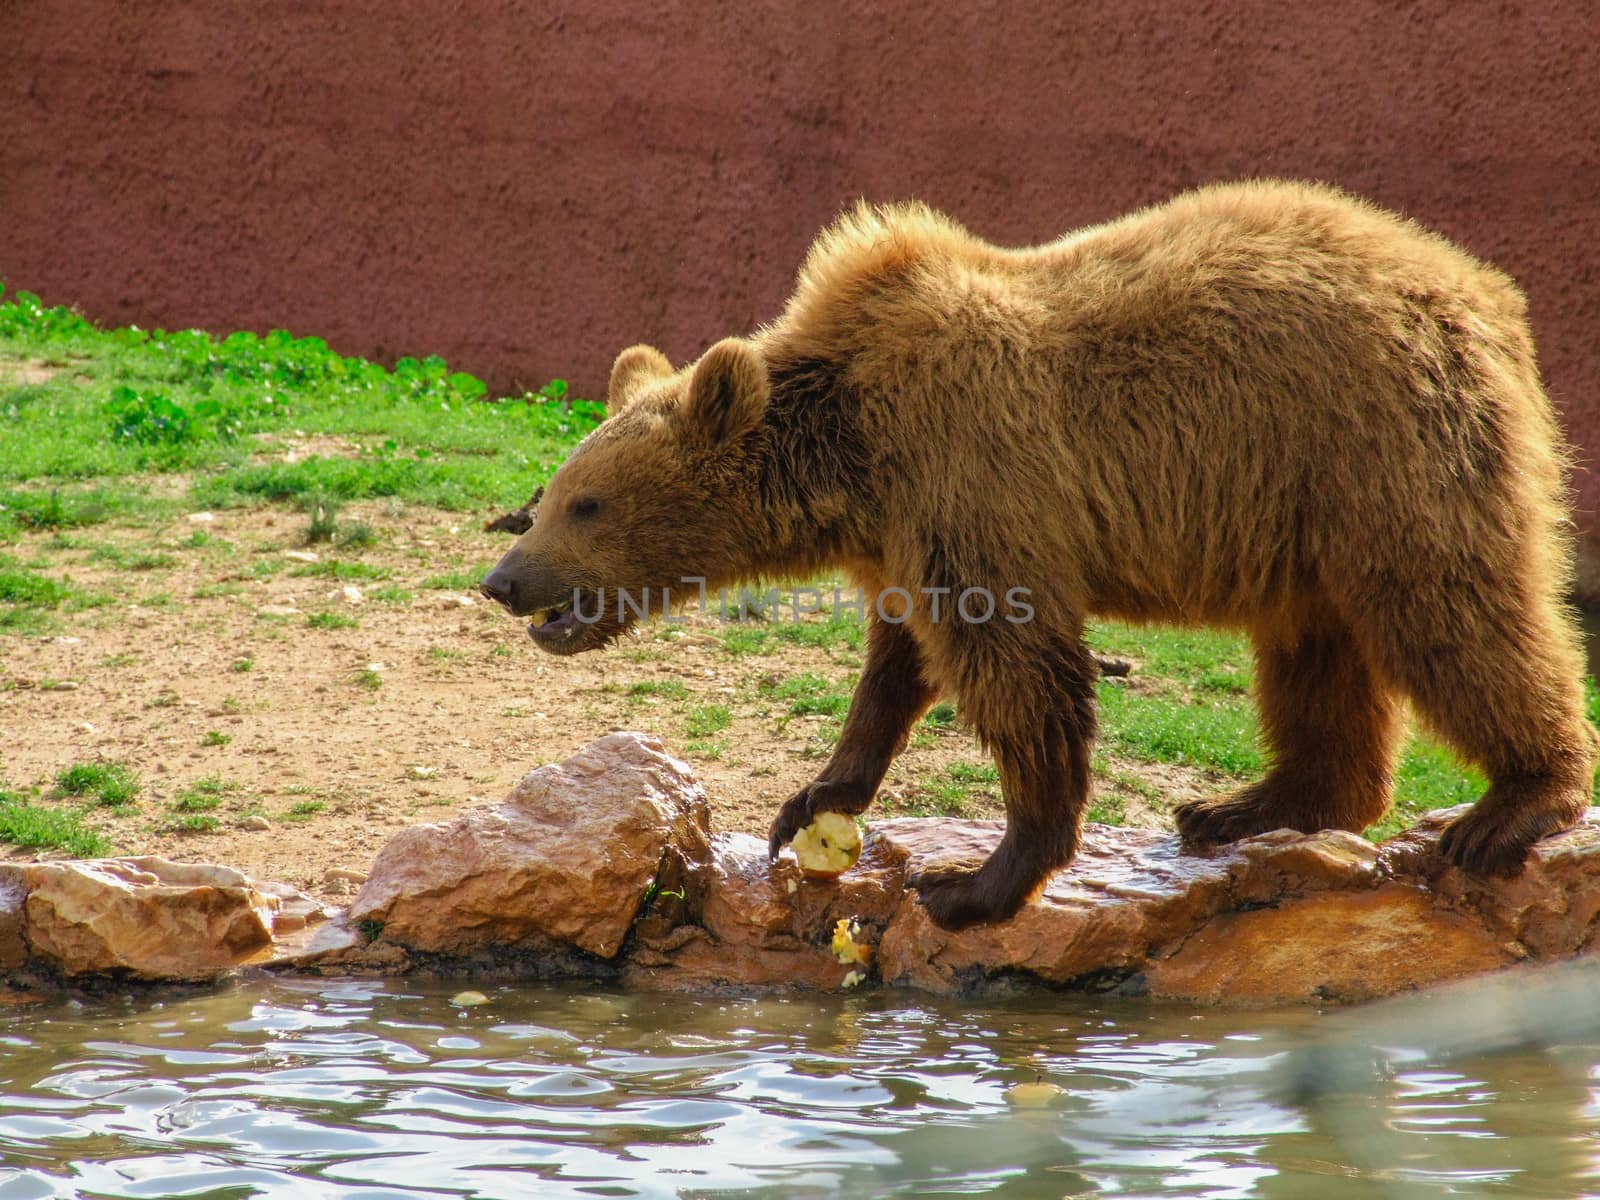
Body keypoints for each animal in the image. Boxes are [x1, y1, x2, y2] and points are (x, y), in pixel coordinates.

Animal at [480, 178, 1593, 934]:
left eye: (585, 503)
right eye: (551, 494)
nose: (503, 578)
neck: (850, 450)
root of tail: (1483, 292)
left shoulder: (972, 477)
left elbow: (1015, 667)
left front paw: (978, 878)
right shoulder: (903, 529)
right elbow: (896, 668)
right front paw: (815, 798)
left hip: (1380, 446)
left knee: (1451, 612)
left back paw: (1511, 804)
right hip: (1305, 513)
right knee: (1314, 653)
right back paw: (1245, 805)